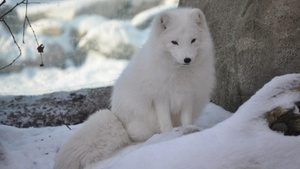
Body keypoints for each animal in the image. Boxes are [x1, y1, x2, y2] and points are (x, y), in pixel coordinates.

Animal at [53, 7, 213, 169]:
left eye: (193, 40)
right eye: (174, 42)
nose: (187, 59)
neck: (179, 73)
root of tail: (118, 119)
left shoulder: (189, 96)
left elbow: (186, 119)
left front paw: (188, 131)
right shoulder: (160, 98)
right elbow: (165, 122)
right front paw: (169, 137)